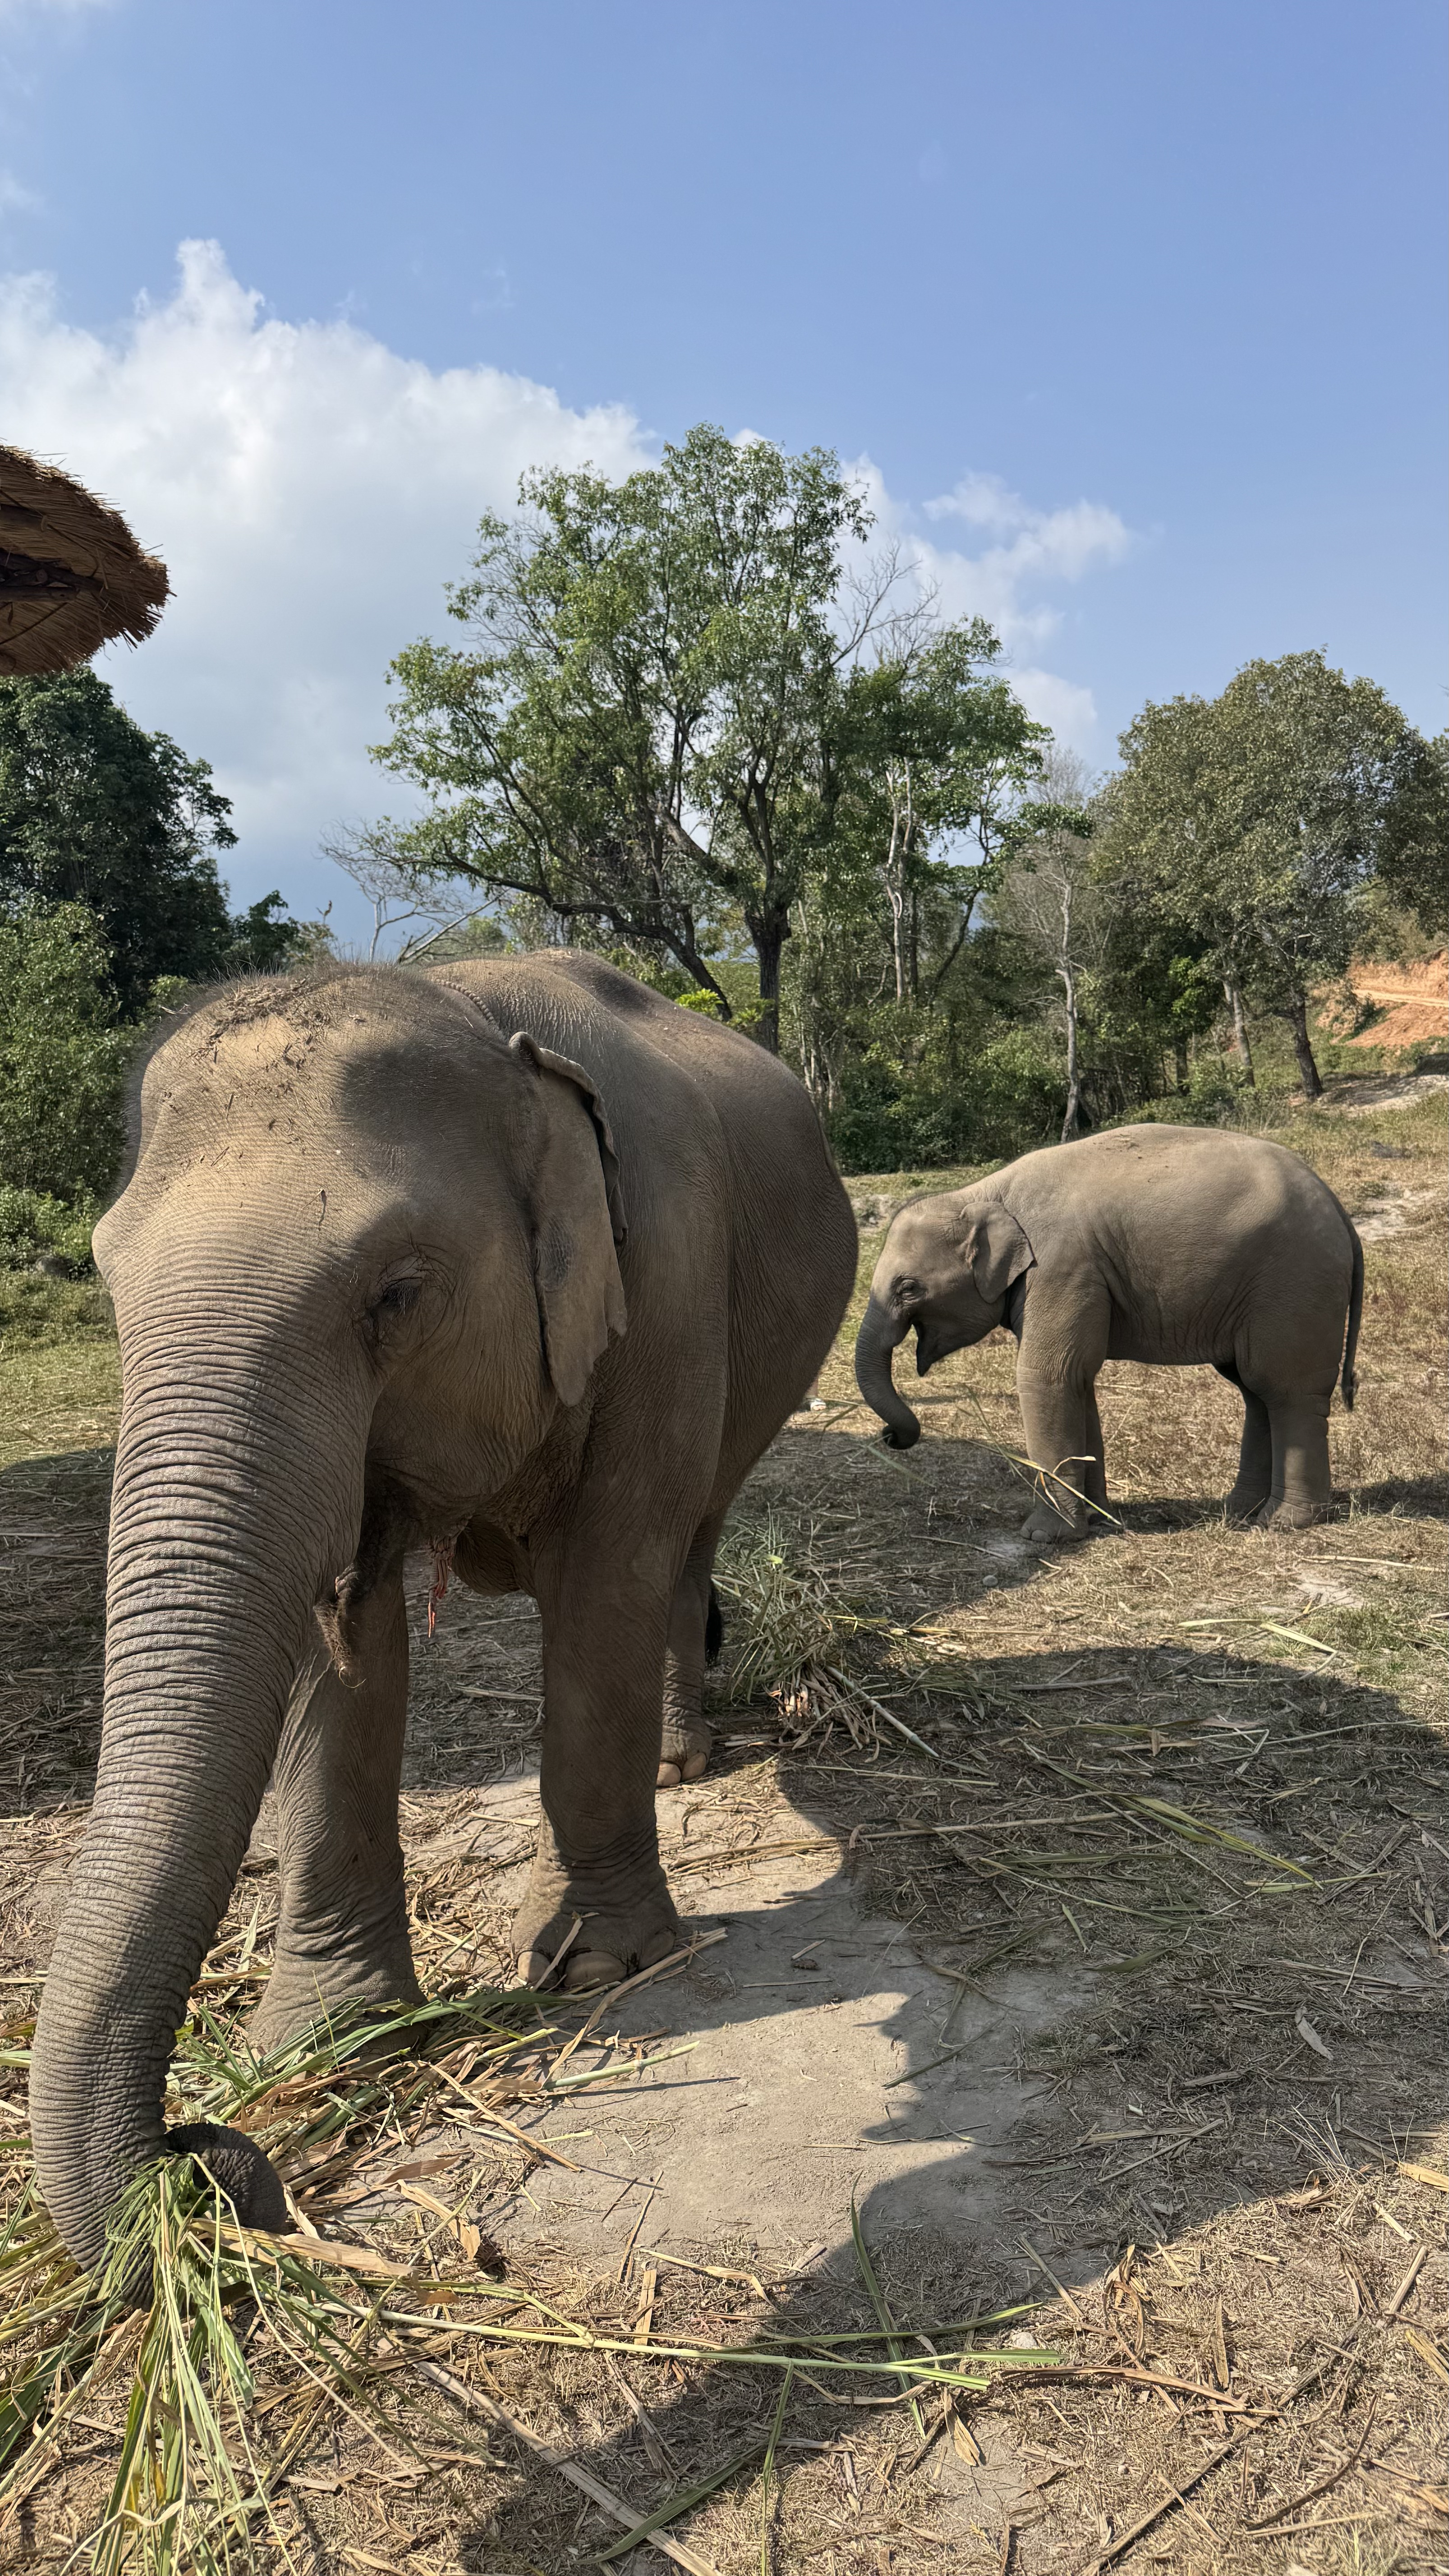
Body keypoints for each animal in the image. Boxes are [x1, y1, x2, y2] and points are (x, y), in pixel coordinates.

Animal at [30, 952, 856, 2268]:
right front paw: (330, 2041)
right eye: (106, 1277)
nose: (205, 2159)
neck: (475, 1017)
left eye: (397, 1293)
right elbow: (333, 1636)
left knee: (687, 1542)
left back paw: (676, 1765)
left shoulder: (666, 1290)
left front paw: (592, 1973)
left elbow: (607, 1586)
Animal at [855, 1124, 1363, 1541]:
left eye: (908, 1287)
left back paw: (1285, 1522)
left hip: (1293, 1285)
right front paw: (1097, 1518)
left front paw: (1044, 1536)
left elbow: (1048, 1376)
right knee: (1255, 1390)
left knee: (1285, 1390)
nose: (891, 1437)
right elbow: (1078, 1381)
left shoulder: (1061, 1270)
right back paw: (1237, 1512)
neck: (986, 1191)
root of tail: (1340, 1210)